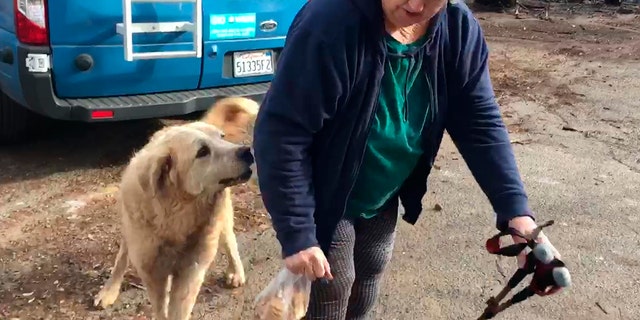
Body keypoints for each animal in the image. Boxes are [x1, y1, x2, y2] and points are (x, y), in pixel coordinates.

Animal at [92, 96, 260, 318]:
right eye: (202, 151)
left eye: (222, 137)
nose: (247, 151)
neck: (177, 215)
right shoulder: (152, 273)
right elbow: (160, 307)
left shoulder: (191, 272)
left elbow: (178, 310)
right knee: (123, 256)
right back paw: (110, 289)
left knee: (229, 239)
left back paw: (236, 271)